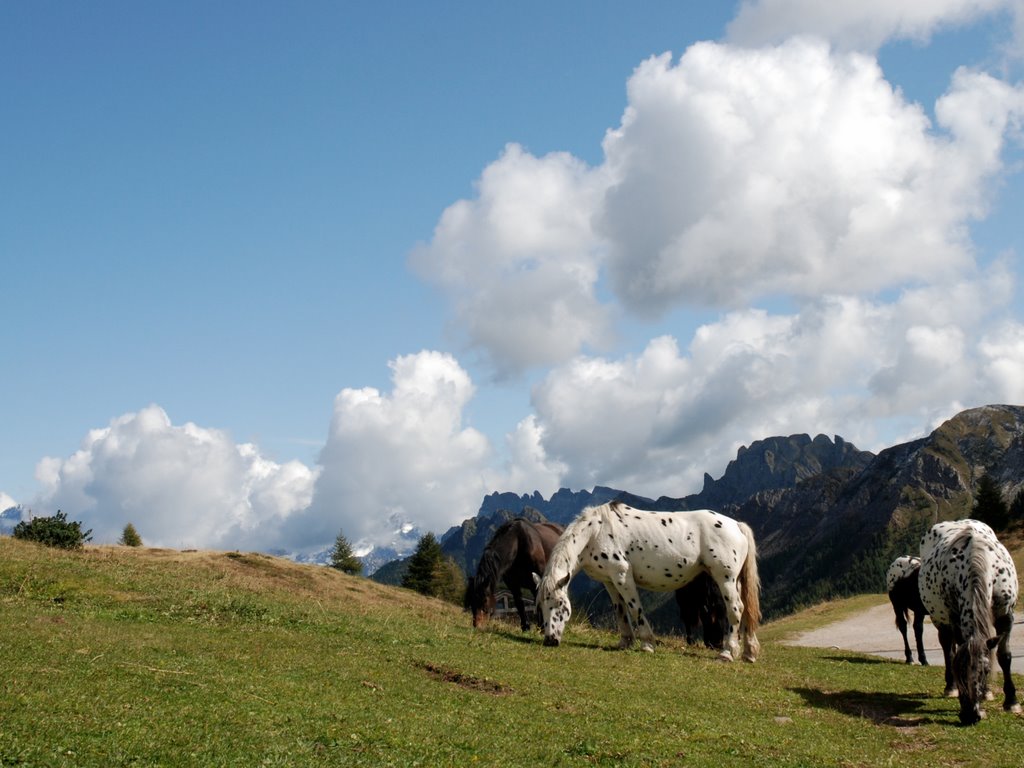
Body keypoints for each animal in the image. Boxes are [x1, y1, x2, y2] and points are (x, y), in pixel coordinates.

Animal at [536, 505, 761, 663]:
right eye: (541, 607)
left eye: (559, 604)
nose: (550, 640)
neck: (595, 532)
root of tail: (737, 525)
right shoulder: (609, 581)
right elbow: (620, 610)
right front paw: (625, 641)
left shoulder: (622, 575)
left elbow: (635, 609)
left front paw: (646, 644)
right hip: (735, 581)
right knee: (746, 610)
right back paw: (748, 653)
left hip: (725, 578)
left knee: (735, 609)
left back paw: (727, 653)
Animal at [917, 518, 1019, 729]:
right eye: (958, 671)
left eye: (985, 670)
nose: (970, 716)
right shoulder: (954, 616)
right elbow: (953, 653)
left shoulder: (1005, 615)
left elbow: (1003, 656)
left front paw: (1011, 701)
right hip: (939, 619)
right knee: (947, 649)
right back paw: (950, 688)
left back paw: (987, 693)